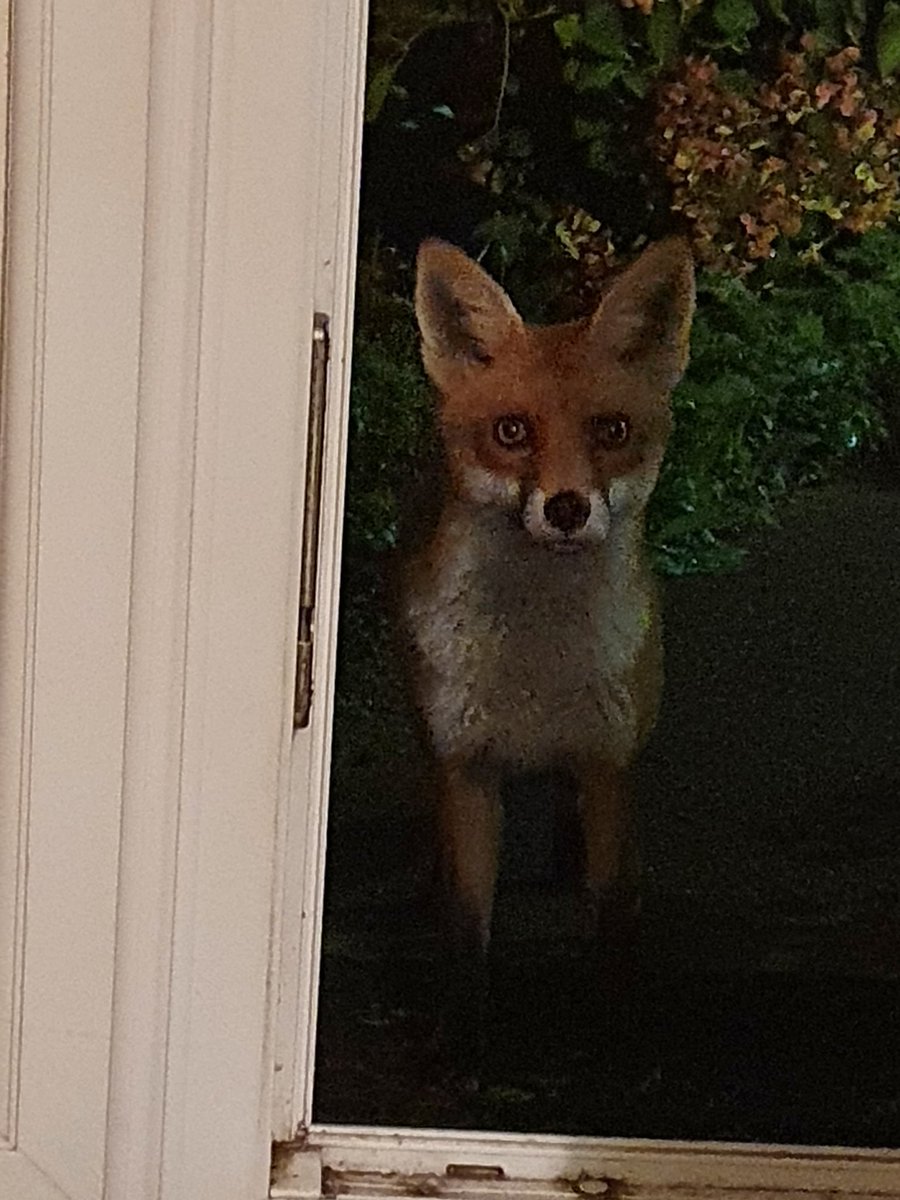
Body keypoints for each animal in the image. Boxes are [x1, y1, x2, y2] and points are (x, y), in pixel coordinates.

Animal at [403, 236, 695, 1056]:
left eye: (611, 432)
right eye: (512, 432)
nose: (566, 508)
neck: (533, 664)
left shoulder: (605, 761)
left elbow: (612, 910)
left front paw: (619, 1033)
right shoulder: (466, 767)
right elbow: (467, 927)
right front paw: (458, 1044)